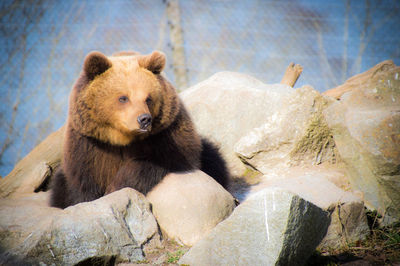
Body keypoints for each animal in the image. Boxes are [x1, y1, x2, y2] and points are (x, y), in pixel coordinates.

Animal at [50, 50, 228, 208]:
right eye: (123, 98)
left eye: (148, 98)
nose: (144, 119)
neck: (123, 139)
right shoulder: (90, 146)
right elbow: (82, 185)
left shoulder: (166, 136)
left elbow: (157, 163)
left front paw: (116, 186)